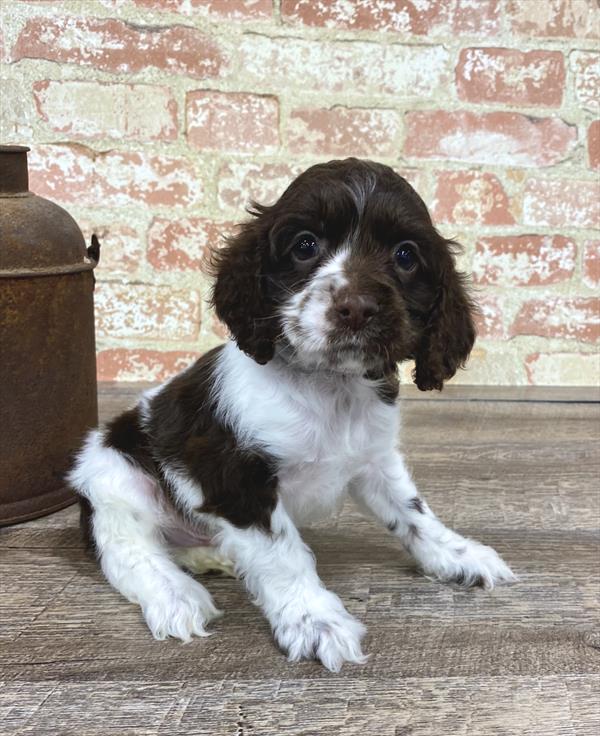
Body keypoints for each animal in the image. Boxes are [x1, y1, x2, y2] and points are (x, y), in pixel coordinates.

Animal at [68, 157, 512, 672]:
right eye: (305, 245)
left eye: (406, 256)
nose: (356, 308)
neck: (330, 387)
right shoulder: (237, 479)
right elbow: (284, 555)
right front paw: (315, 621)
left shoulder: (374, 460)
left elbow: (414, 514)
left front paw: (459, 555)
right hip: (115, 475)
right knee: (128, 551)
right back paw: (175, 595)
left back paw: (212, 557)